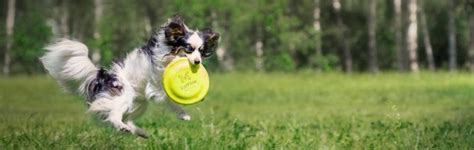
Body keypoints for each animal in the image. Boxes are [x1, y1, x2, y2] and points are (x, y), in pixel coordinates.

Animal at [39, 16, 220, 137]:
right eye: (189, 49)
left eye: (201, 51)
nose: (197, 62)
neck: (170, 55)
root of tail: (104, 76)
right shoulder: (156, 86)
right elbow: (170, 99)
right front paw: (183, 113)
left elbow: (172, 100)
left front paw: (185, 112)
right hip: (123, 96)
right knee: (114, 115)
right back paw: (124, 127)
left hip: (138, 104)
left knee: (123, 118)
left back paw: (139, 132)